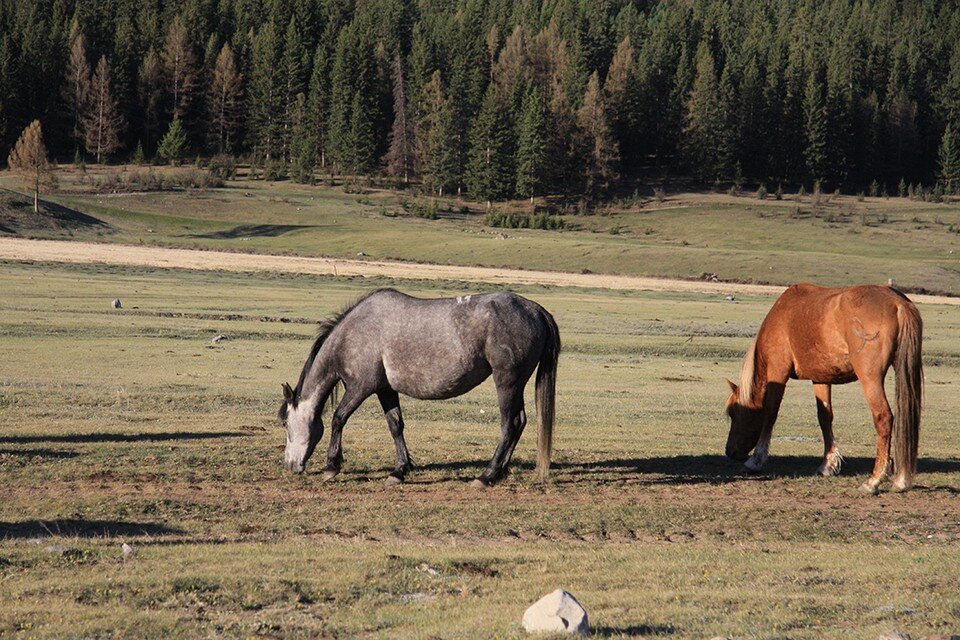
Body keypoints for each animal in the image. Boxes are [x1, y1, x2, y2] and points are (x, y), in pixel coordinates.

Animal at [278, 288, 560, 484]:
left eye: (284, 423)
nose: (290, 465)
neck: (354, 334)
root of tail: (535, 309)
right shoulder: (385, 389)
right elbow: (395, 425)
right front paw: (400, 470)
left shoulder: (361, 386)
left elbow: (339, 418)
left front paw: (331, 466)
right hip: (516, 383)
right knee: (520, 421)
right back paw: (499, 472)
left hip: (507, 381)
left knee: (510, 423)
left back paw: (486, 476)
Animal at [728, 284, 924, 496]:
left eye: (733, 413)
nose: (729, 451)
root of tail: (898, 303)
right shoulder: (820, 379)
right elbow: (825, 418)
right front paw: (828, 464)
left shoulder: (777, 372)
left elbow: (770, 415)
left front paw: (756, 460)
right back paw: (902, 480)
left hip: (870, 379)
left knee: (884, 418)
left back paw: (874, 480)